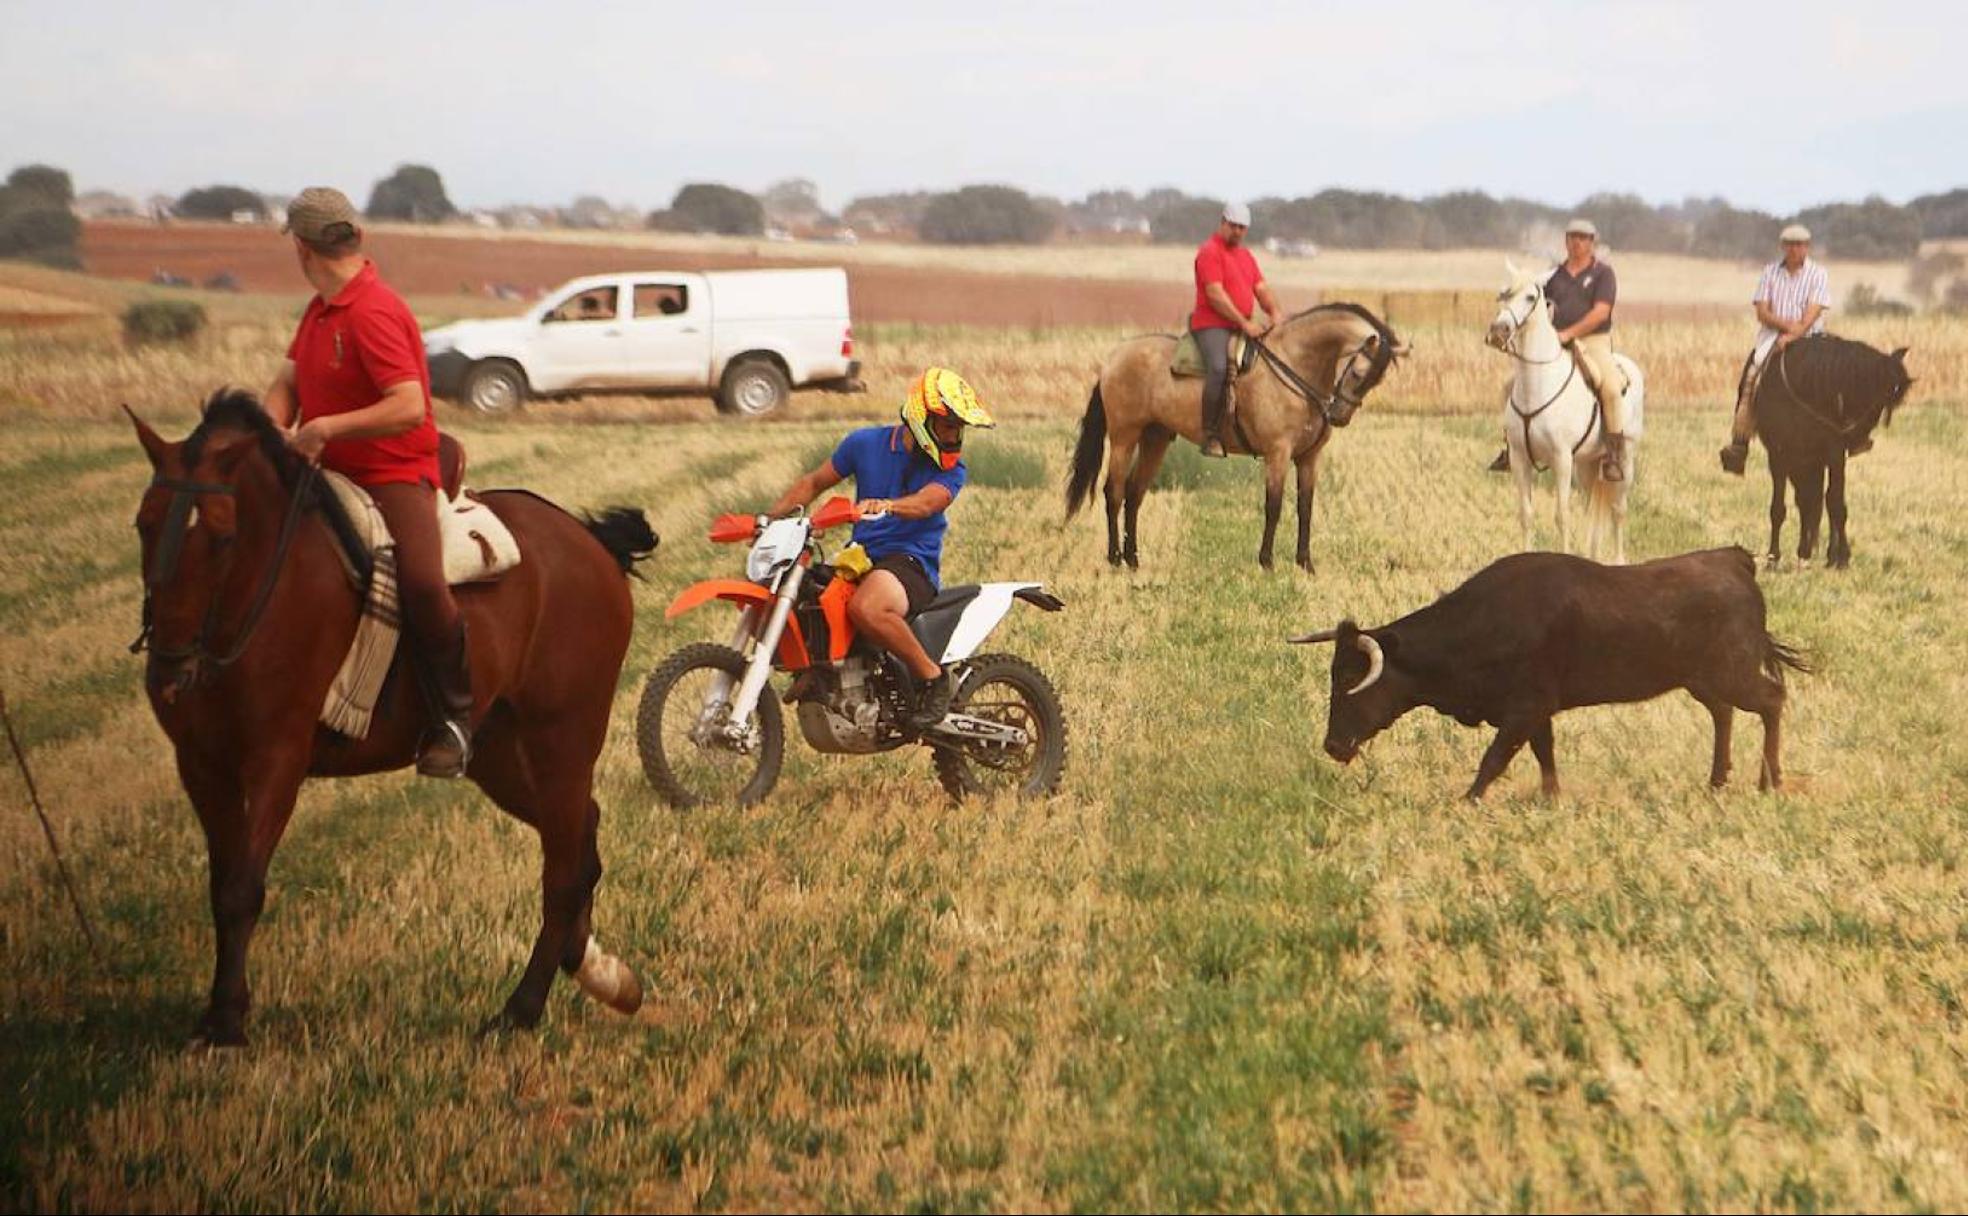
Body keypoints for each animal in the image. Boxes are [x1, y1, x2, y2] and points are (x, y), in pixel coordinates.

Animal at [128, 391, 661, 1038]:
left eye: (222, 535)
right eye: (144, 522)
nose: (170, 672)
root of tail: (589, 542)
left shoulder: (276, 760)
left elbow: (241, 889)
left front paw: (227, 1021)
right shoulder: (203, 767)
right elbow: (220, 885)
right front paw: (218, 1012)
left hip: (561, 739)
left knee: (562, 869)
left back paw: (522, 1008)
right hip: (501, 757)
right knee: (582, 835)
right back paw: (599, 973)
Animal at [1070, 301, 1409, 570]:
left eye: (1377, 380)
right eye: (1358, 373)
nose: (1338, 416)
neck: (1296, 366)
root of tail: (1113, 359)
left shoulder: (1309, 458)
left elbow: (1305, 507)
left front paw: (1305, 564)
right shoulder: (1277, 454)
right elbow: (1274, 506)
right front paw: (1267, 562)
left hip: (1155, 439)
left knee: (1134, 493)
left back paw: (1133, 559)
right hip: (1124, 437)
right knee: (1114, 492)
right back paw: (1115, 558)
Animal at [1291, 547, 1810, 794]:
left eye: (1350, 679)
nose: (1332, 745)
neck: (1484, 622)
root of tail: (1735, 561)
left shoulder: (1525, 708)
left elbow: (1494, 760)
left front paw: (1467, 801)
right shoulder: (1536, 712)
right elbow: (1545, 756)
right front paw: (1550, 798)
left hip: (1732, 672)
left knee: (1771, 700)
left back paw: (1769, 781)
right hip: (1704, 680)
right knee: (1724, 713)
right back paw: (1718, 780)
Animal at [1487, 259, 1645, 562]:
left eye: (1530, 297)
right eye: (1503, 294)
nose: (1498, 331)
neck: (1538, 383)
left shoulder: (1561, 459)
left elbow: (1562, 517)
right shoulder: (1520, 458)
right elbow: (1526, 514)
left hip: (1625, 459)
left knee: (1618, 511)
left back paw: (1618, 561)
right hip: (1587, 464)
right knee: (1591, 511)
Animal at [1755, 326, 1905, 562]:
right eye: (1881, 398)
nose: (1856, 436)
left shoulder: (1834, 453)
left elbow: (1835, 503)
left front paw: (1841, 556)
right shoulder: (1778, 456)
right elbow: (1781, 508)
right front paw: (1773, 557)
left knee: (1822, 499)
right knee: (1808, 500)